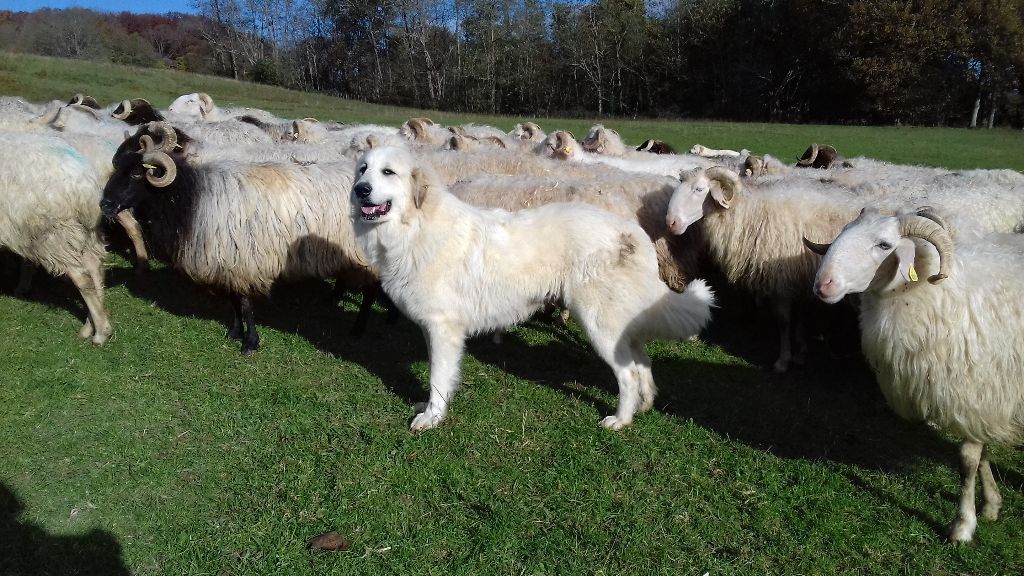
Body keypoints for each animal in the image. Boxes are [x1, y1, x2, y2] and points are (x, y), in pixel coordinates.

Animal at [348, 145, 716, 428]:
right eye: (363, 169)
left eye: (388, 172)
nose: (360, 190)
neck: (416, 227)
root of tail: (633, 232)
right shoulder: (434, 328)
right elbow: (441, 376)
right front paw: (429, 409)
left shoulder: (443, 328)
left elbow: (437, 378)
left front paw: (432, 417)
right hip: (620, 324)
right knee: (642, 364)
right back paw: (644, 405)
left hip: (600, 326)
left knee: (627, 375)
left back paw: (620, 420)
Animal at [811, 207, 1019, 541]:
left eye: (884, 245)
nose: (823, 284)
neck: (930, 293)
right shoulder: (984, 401)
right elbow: (984, 454)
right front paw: (991, 505)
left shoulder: (976, 390)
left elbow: (968, 462)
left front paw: (962, 526)